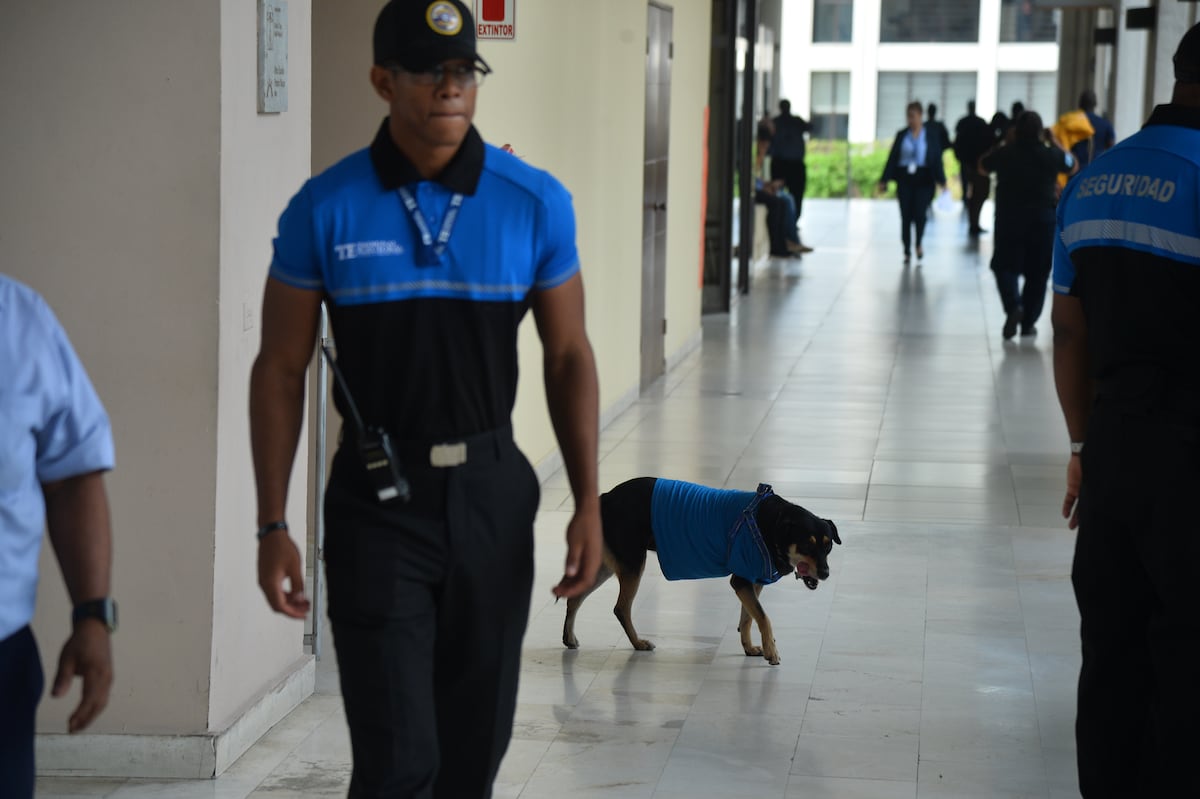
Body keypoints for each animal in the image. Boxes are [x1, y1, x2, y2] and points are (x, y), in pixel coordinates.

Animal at [564, 475, 840, 662]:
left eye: (828, 546)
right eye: (807, 545)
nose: (825, 574)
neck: (771, 525)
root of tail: (606, 497)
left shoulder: (753, 580)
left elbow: (748, 618)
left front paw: (749, 647)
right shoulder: (741, 580)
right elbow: (763, 617)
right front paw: (771, 650)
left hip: (608, 563)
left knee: (575, 596)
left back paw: (569, 637)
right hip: (632, 563)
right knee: (621, 608)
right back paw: (638, 643)